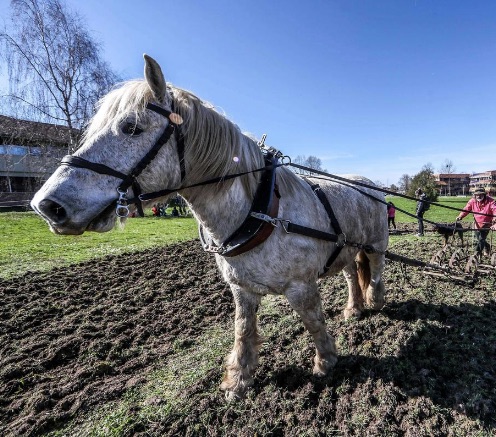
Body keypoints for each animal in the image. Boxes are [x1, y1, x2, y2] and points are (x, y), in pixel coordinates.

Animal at [31, 53, 390, 398]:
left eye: (131, 127)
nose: (47, 205)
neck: (261, 210)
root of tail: (369, 184)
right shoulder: (241, 287)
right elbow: (243, 329)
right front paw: (239, 380)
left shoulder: (301, 286)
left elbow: (313, 321)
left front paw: (326, 361)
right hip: (345, 250)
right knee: (351, 275)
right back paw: (354, 308)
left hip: (377, 244)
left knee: (375, 270)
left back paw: (375, 300)